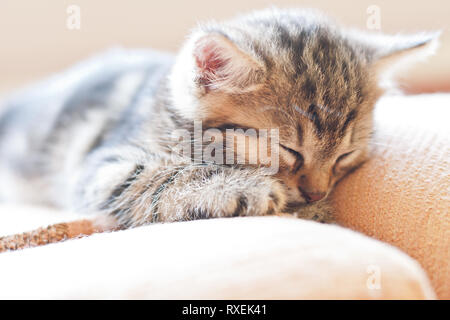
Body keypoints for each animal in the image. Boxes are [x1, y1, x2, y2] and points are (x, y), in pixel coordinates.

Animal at [0, 8, 438, 229]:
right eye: (288, 150)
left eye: (345, 156)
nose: (316, 193)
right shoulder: (104, 167)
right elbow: (164, 175)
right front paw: (242, 188)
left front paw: (312, 210)